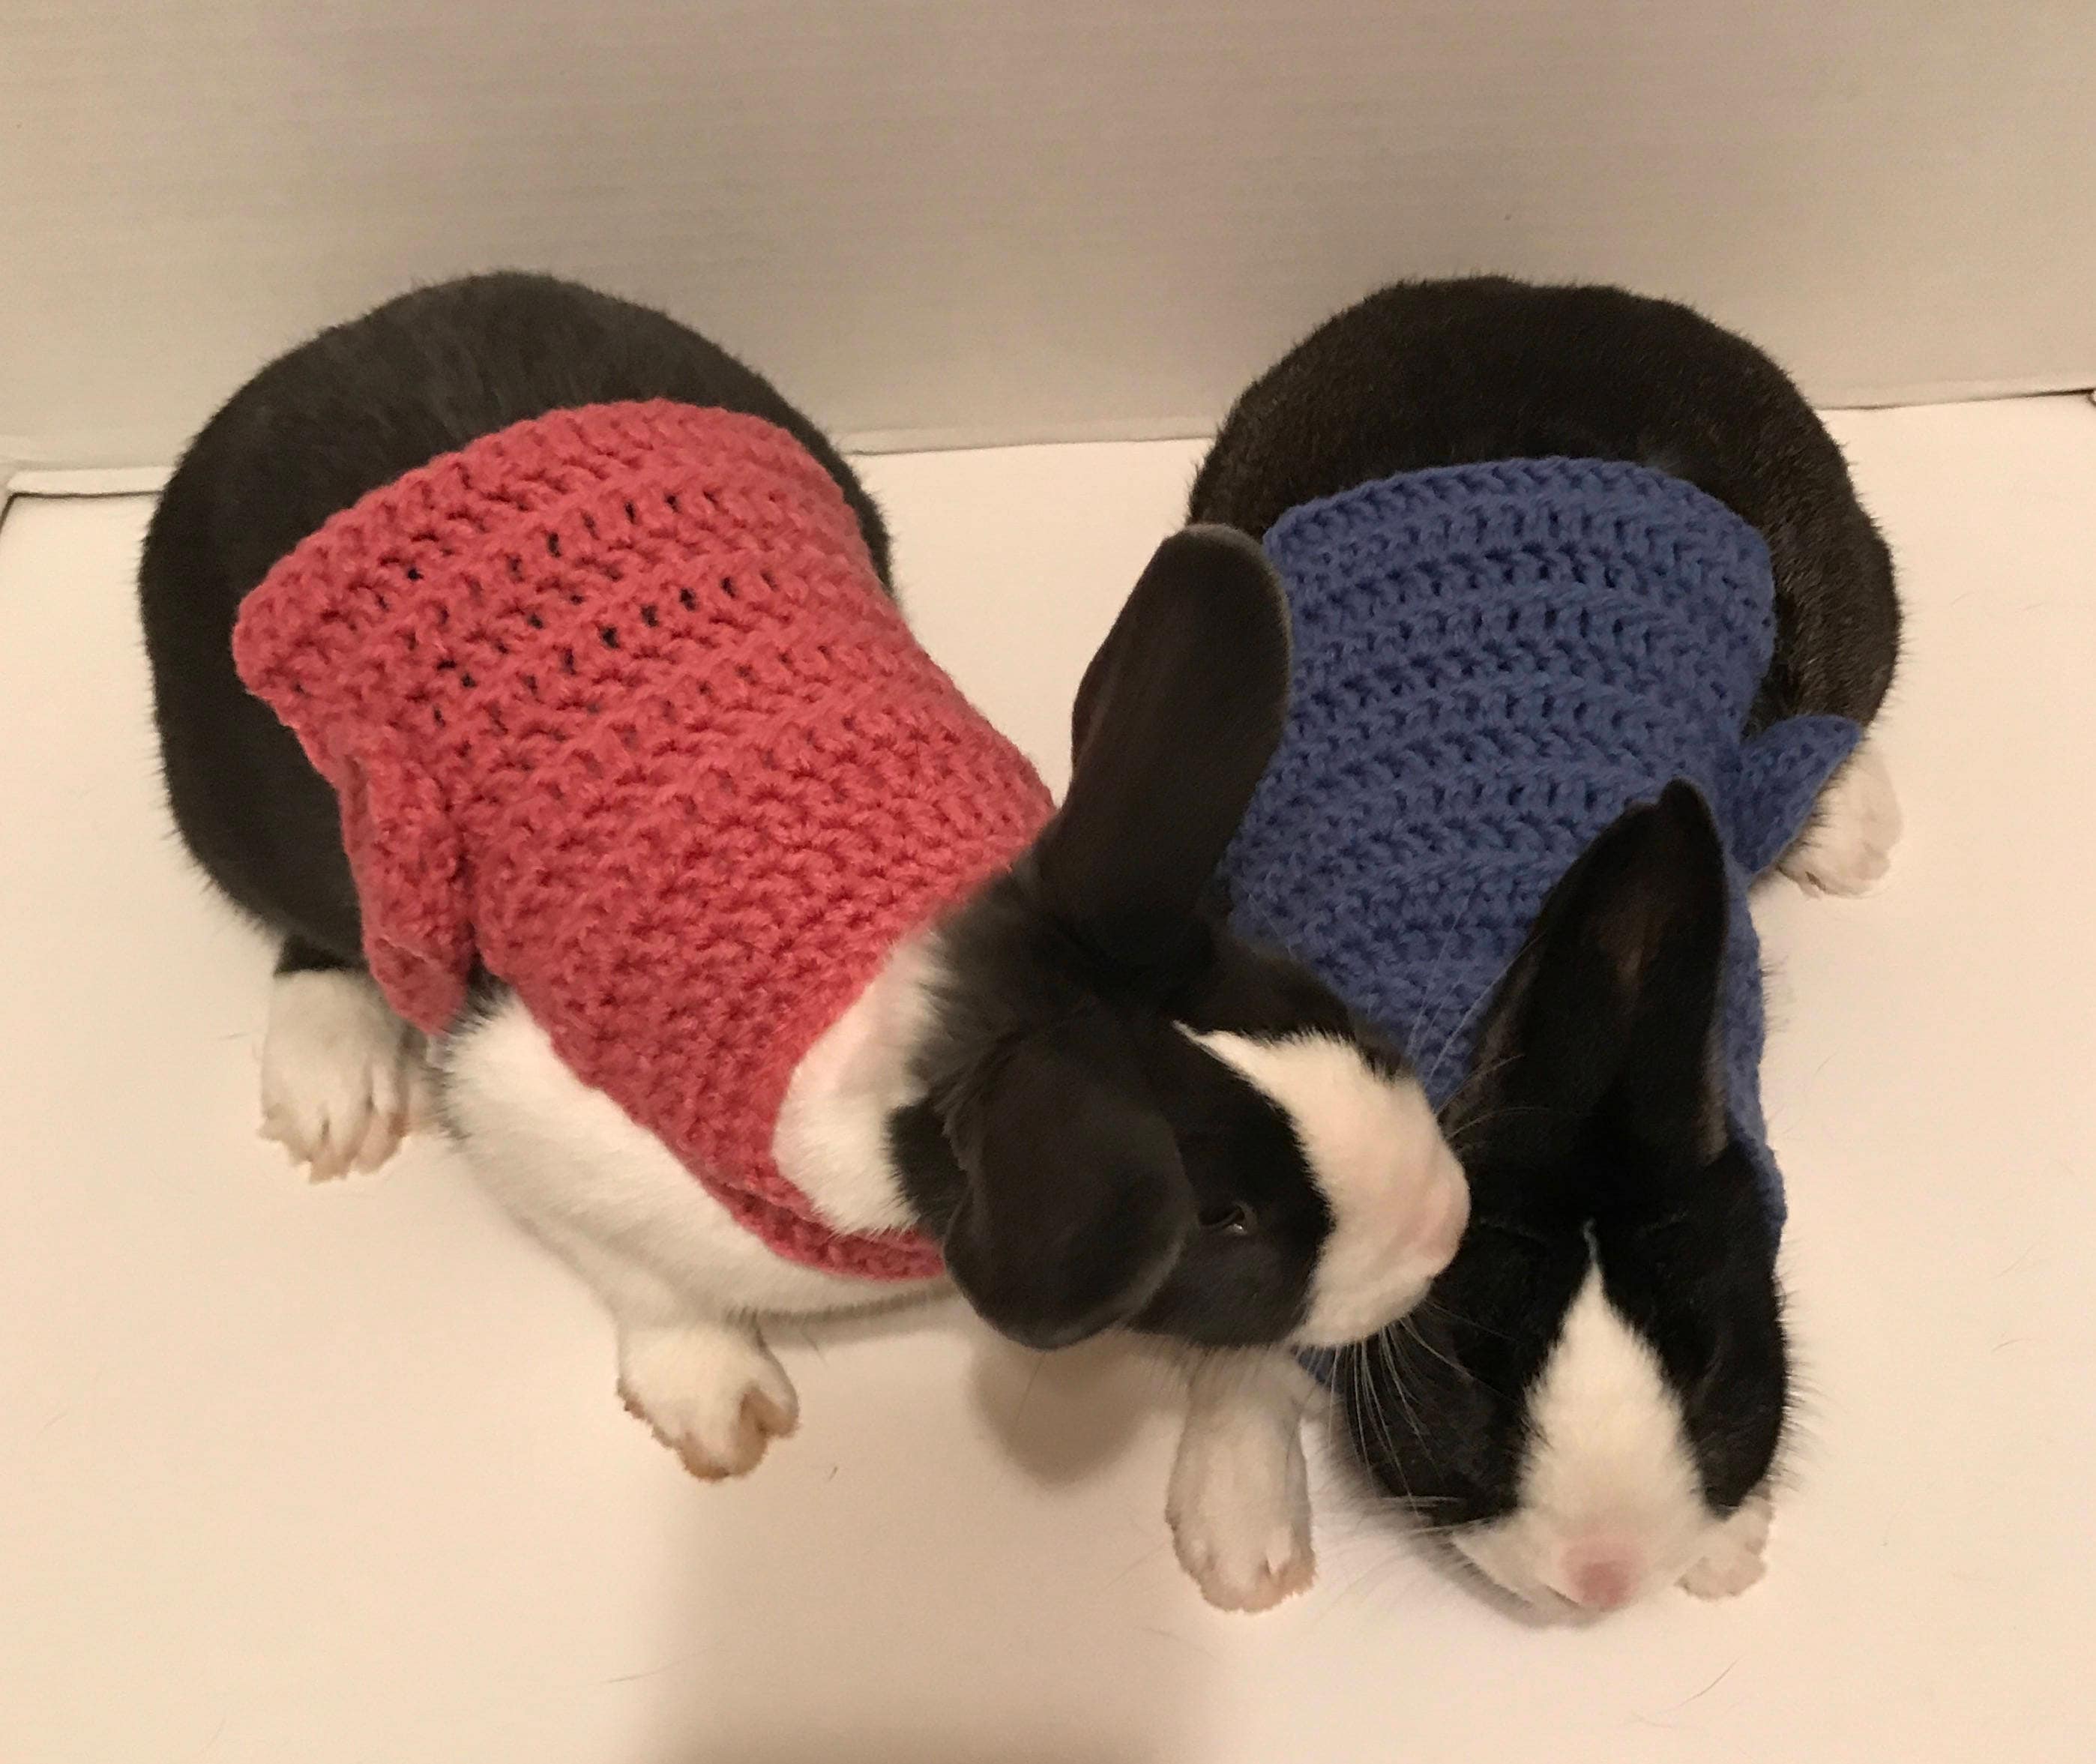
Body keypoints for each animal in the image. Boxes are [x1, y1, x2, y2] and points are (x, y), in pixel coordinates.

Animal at [137, 272, 1467, 1611]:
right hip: (273, 814)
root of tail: (342, 340)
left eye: (1314, 1000)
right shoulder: (531, 1112)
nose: (1447, 1224)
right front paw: (719, 1406)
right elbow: (641, 1277)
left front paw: (1246, 1531)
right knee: (316, 934)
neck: (933, 981)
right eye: (1220, 1220)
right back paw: (336, 1091)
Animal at [1166, 276, 1903, 1616]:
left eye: (1707, 1351)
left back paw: (1847, 825)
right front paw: (1241, 1545)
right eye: (1472, 1361)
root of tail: (1559, 300)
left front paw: (1730, 1549)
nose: (1605, 1576)